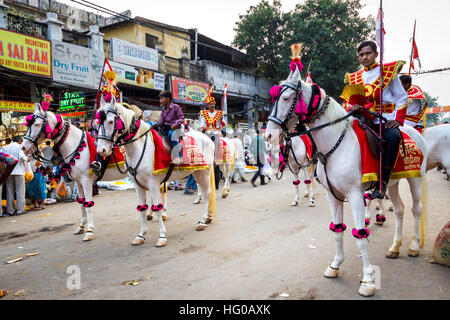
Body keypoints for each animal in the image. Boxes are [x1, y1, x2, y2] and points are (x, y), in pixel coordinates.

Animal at [21, 104, 125, 241]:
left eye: (37, 124)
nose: (24, 147)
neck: (77, 146)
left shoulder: (87, 181)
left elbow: (88, 205)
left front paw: (89, 231)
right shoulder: (79, 182)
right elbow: (82, 204)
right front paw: (81, 227)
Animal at [96, 96, 217, 246]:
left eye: (111, 121)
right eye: (98, 123)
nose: (101, 150)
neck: (139, 147)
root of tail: (208, 139)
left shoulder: (153, 183)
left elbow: (157, 208)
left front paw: (162, 236)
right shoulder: (138, 185)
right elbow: (142, 208)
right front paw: (141, 235)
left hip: (204, 173)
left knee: (207, 194)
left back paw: (202, 222)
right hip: (197, 172)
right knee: (206, 193)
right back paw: (207, 218)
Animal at [266, 65, 428, 298]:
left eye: (287, 98)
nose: (269, 134)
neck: (335, 145)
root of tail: (412, 129)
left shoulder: (355, 195)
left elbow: (360, 237)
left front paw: (368, 280)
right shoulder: (333, 196)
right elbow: (337, 230)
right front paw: (334, 265)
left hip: (416, 178)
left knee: (416, 209)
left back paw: (414, 246)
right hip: (393, 183)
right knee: (399, 209)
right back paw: (395, 247)